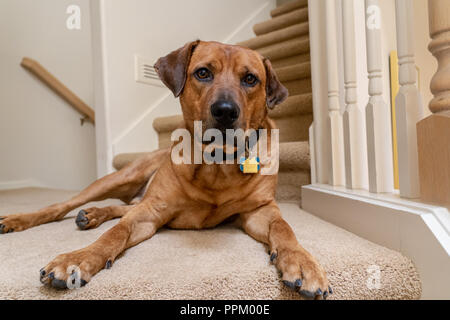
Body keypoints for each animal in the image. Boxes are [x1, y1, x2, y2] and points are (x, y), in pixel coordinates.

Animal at [0, 40, 330, 300]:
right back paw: (21, 219)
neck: (217, 165)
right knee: (63, 205)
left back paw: (92, 214)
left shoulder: (260, 211)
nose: (225, 111)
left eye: (250, 79)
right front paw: (79, 259)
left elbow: (284, 229)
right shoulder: (151, 211)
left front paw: (303, 262)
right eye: (203, 73)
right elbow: (115, 234)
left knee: (122, 207)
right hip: (121, 177)